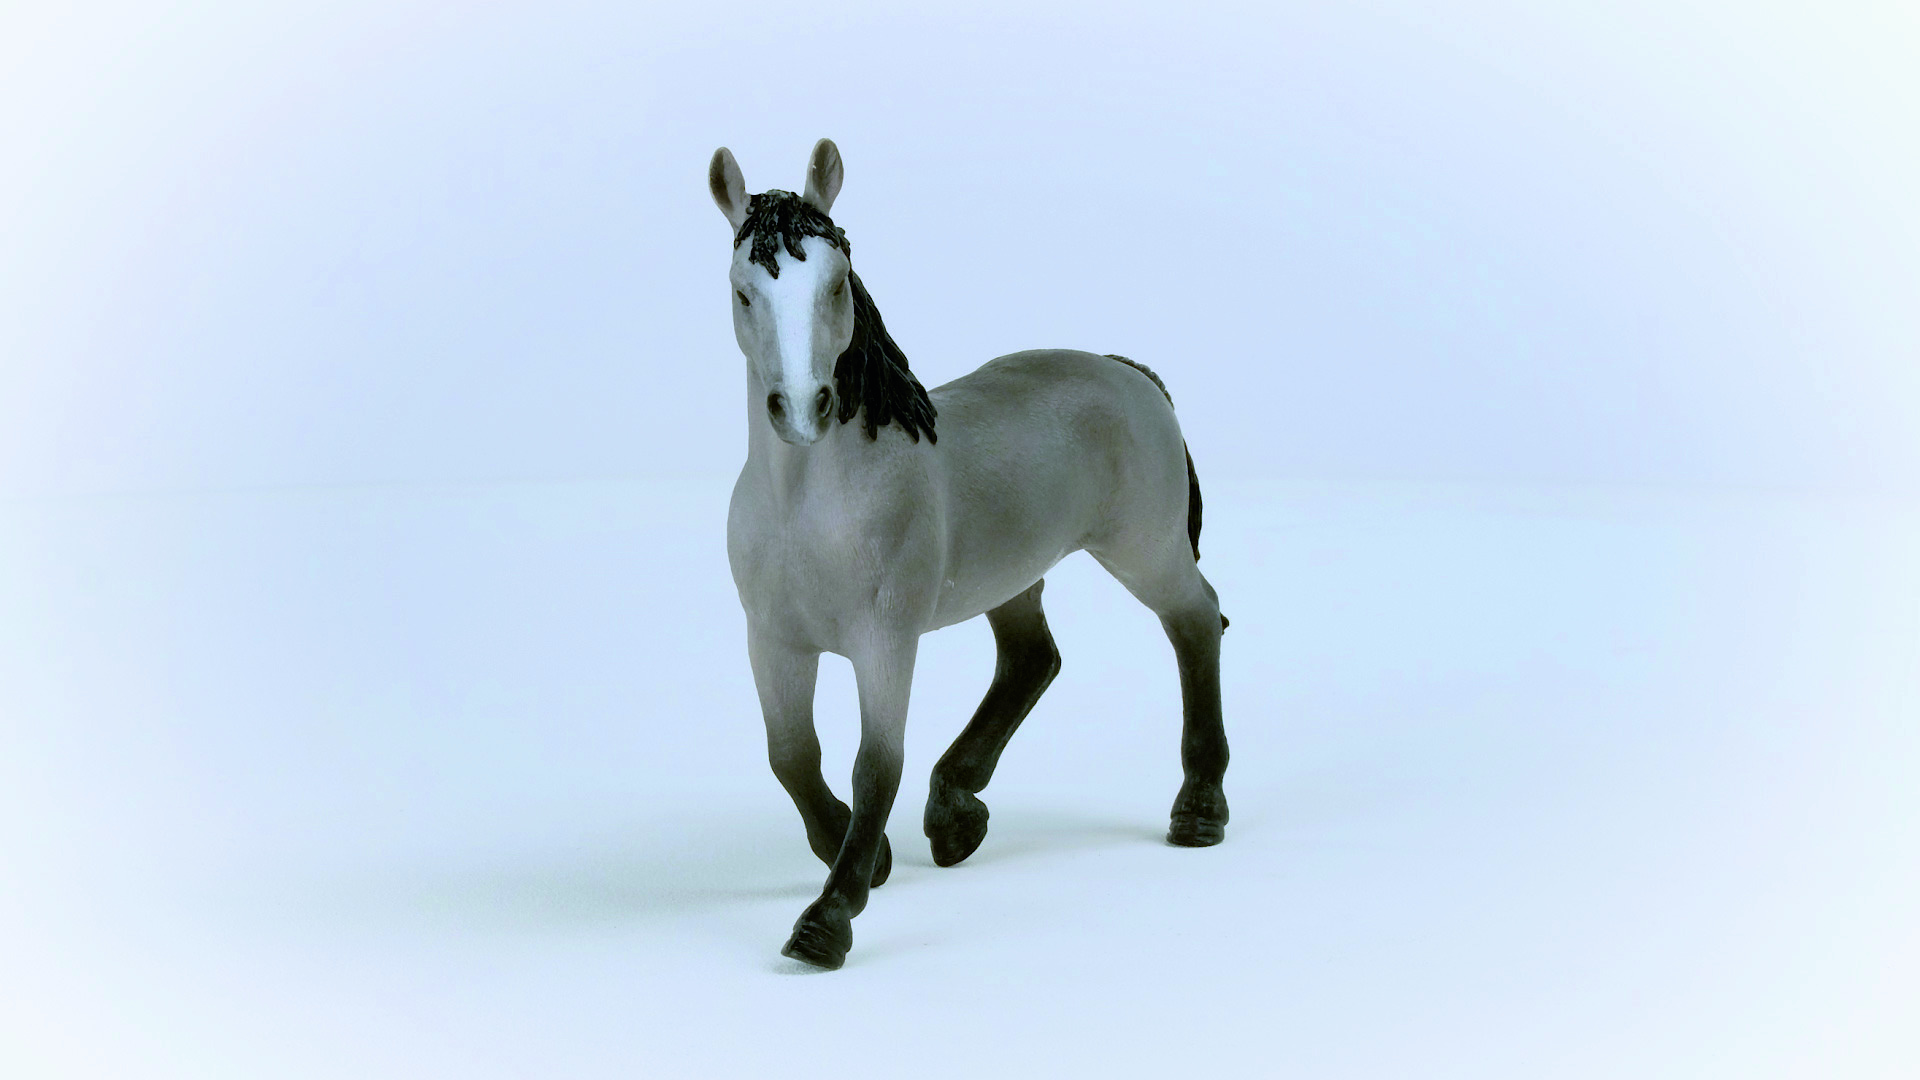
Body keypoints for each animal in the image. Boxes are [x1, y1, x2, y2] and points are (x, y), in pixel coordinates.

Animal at [711, 139, 1230, 969]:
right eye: (744, 293)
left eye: (835, 283)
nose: (802, 410)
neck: (808, 508)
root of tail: (1128, 373)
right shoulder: (774, 642)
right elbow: (790, 754)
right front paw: (860, 854)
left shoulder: (884, 643)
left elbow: (874, 765)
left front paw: (829, 917)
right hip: (1012, 578)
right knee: (1032, 660)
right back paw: (956, 813)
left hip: (1145, 552)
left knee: (1196, 622)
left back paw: (1199, 807)